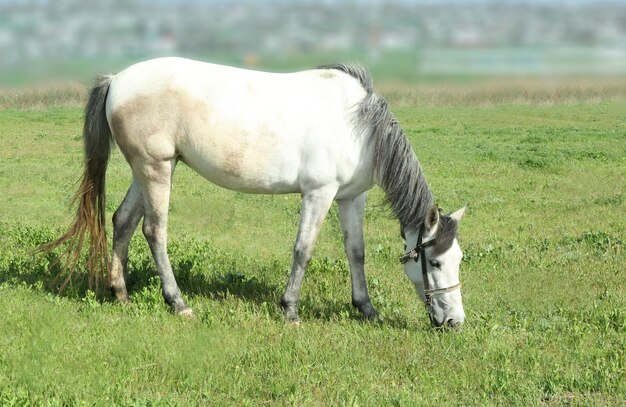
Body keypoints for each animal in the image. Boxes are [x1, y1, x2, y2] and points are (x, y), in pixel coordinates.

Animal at [42, 58, 464, 328]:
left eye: (458, 259)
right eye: (436, 263)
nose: (454, 322)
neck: (359, 125)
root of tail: (116, 79)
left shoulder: (349, 197)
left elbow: (355, 252)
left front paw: (366, 309)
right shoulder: (319, 193)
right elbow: (303, 250)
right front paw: (290, 310)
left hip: (146, 169)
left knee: (123, 221)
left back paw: (121, 293)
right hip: (156, 169)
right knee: (154, 231)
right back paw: (178, 303)